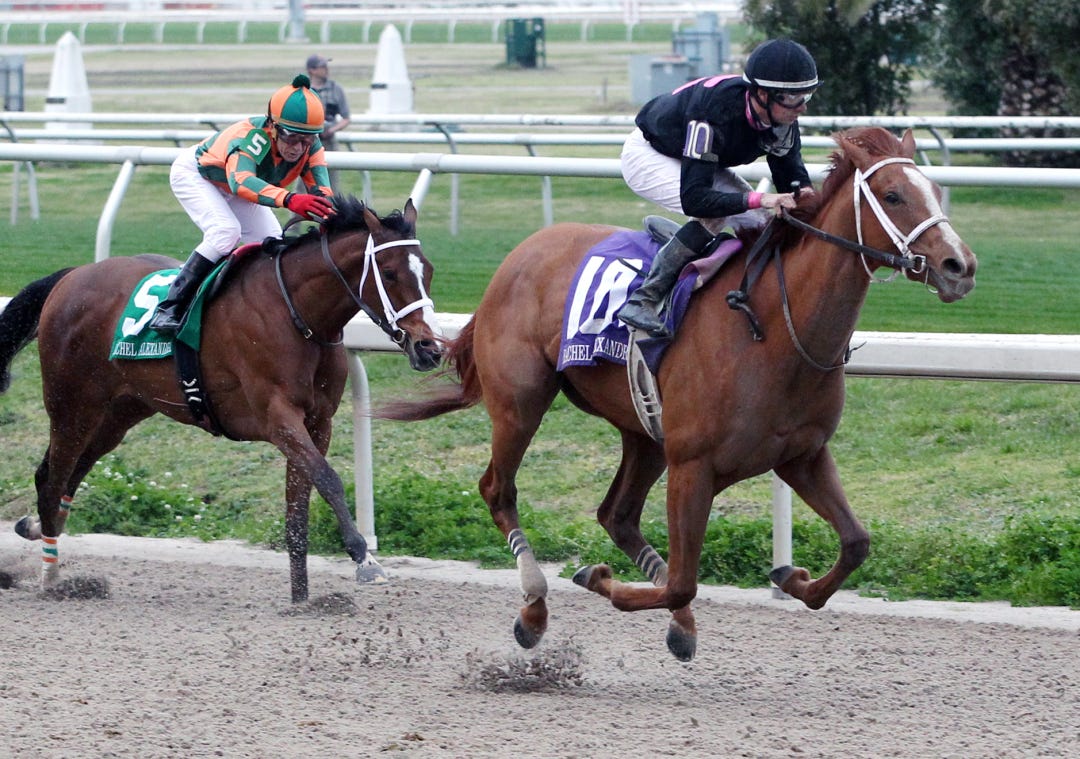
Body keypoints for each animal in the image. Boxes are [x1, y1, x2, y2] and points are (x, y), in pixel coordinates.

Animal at [0, 196, 442, 602]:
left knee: (67, 473)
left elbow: (299, 505)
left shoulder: (319, 422)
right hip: (71, 404)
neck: (298, 315)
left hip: (120, 412)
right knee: (52, 476)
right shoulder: (278, 417)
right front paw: (364, 559)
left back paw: (36, 528)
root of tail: (72, 276)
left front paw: (302, 597)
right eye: (389, 272)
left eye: (429, 271)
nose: (430, 348)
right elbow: (329, 480)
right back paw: (51, 578)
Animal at [376, 128, 978, 660]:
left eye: (934, 188)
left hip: (643, 431)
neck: (774, 327)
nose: (960, 266)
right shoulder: (694, 465)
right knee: (499, 489)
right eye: (893, 194)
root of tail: (517, 255)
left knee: (616, 514)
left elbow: (855, 544)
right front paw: (598, 578)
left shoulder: (802, 455)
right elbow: (683, 581)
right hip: (522, 403)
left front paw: (791, 575)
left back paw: (676, 622)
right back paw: (535, 607)